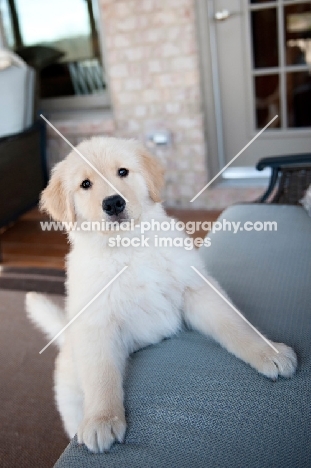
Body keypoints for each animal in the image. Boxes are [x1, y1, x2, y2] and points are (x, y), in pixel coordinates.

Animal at [25, 137, 298, 452]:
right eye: (85, 184)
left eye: (122, 172)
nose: (114, 203)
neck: (129, 246)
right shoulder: (97, 322)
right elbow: (101, 374)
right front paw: (102, 419)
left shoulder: (194, 288)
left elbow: (234, 325)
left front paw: (268, 351)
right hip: (70, 395)